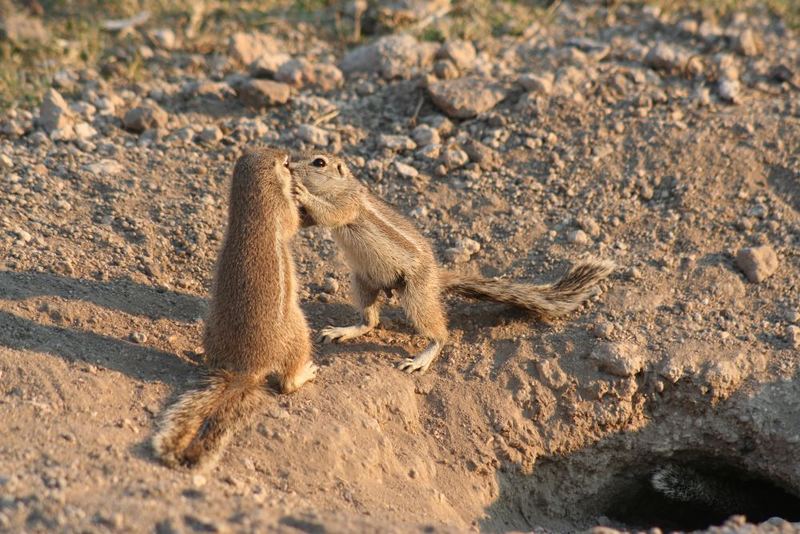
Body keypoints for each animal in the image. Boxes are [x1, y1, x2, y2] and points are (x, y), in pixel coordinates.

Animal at [150, 149, 316, 472]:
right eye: (285, 162)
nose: (287, 156)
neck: (249, 204)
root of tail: (247, 368)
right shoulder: (281, 212)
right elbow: (292, 223)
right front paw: (299, 193)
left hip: (211, 330)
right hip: (299, 330)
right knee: (287, 383)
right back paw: (306, 372)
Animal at [290, 153, 616, 374]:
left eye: (319, 161)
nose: (290, 166)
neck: (341, 185)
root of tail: (436, 278)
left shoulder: (348, 204)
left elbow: (331, 213)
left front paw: (301, 191)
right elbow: (309, 221)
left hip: (416, 295)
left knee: (439, 334)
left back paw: (421, 359)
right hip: (362, 281)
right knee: (370, 321)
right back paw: (343, 331)